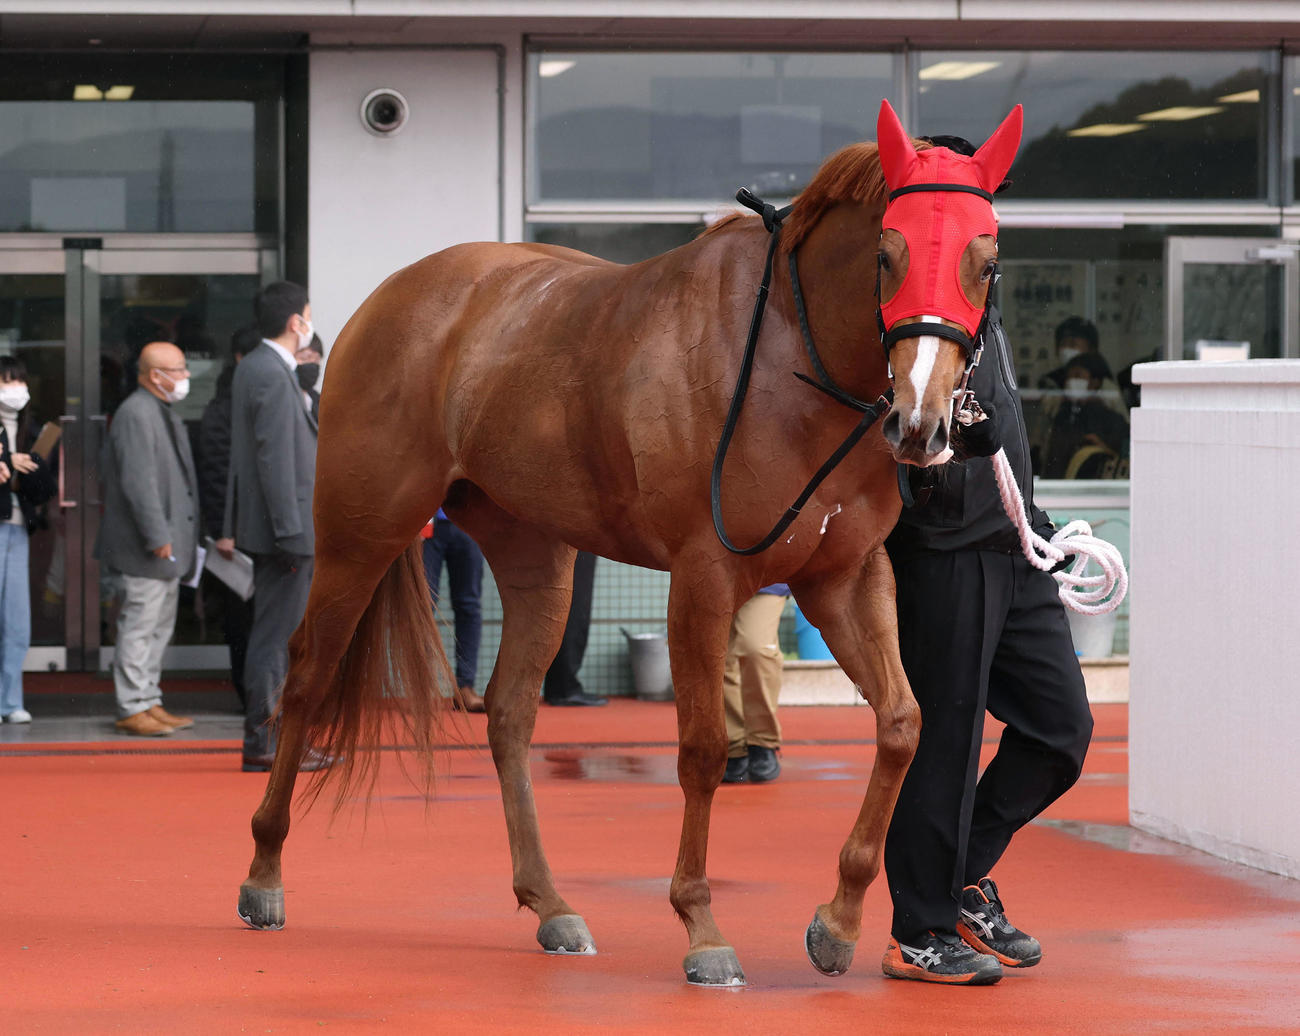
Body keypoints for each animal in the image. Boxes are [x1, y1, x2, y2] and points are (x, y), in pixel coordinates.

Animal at [235, 98, 1024, 987]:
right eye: (888, 256)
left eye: (987, 261)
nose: (922, 424)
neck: (787, 359)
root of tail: (396, 294)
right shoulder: (704, 574)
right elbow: (704, 748)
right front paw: (702, 926)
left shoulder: (844, 575)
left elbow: (901, 723)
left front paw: (840, 919)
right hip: (360, 531)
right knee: (306, 677)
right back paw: (264, 874)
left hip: (535, 554)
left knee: (509, 712)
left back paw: (550, 903)